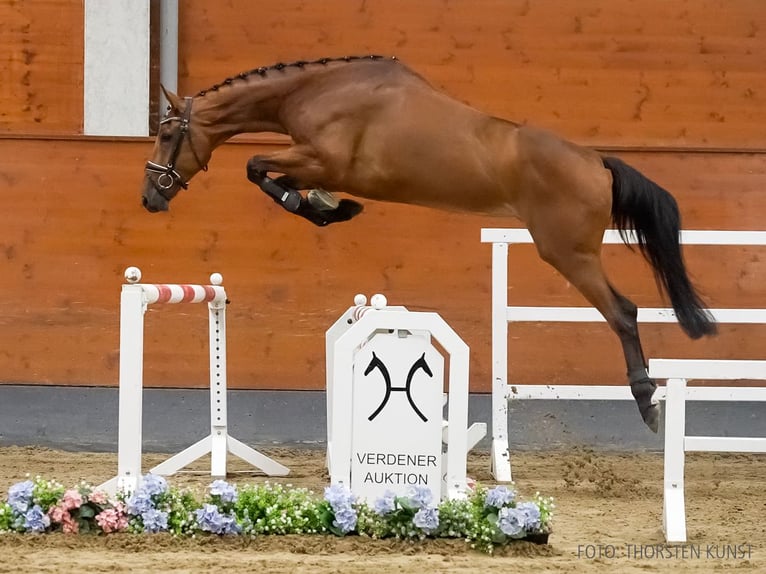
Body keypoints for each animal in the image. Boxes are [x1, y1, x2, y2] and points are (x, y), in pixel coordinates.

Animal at [140, 55, 720, 432]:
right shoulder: (316, 162)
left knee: (623, 311)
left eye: (167, 135)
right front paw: (329, 207)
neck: (320, 92)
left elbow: (257, 168)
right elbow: (267, 172)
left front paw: (324, 208)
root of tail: (596, 161)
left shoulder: (321, 159)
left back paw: (647, 402)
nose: (149, 197)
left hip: (568, 254)